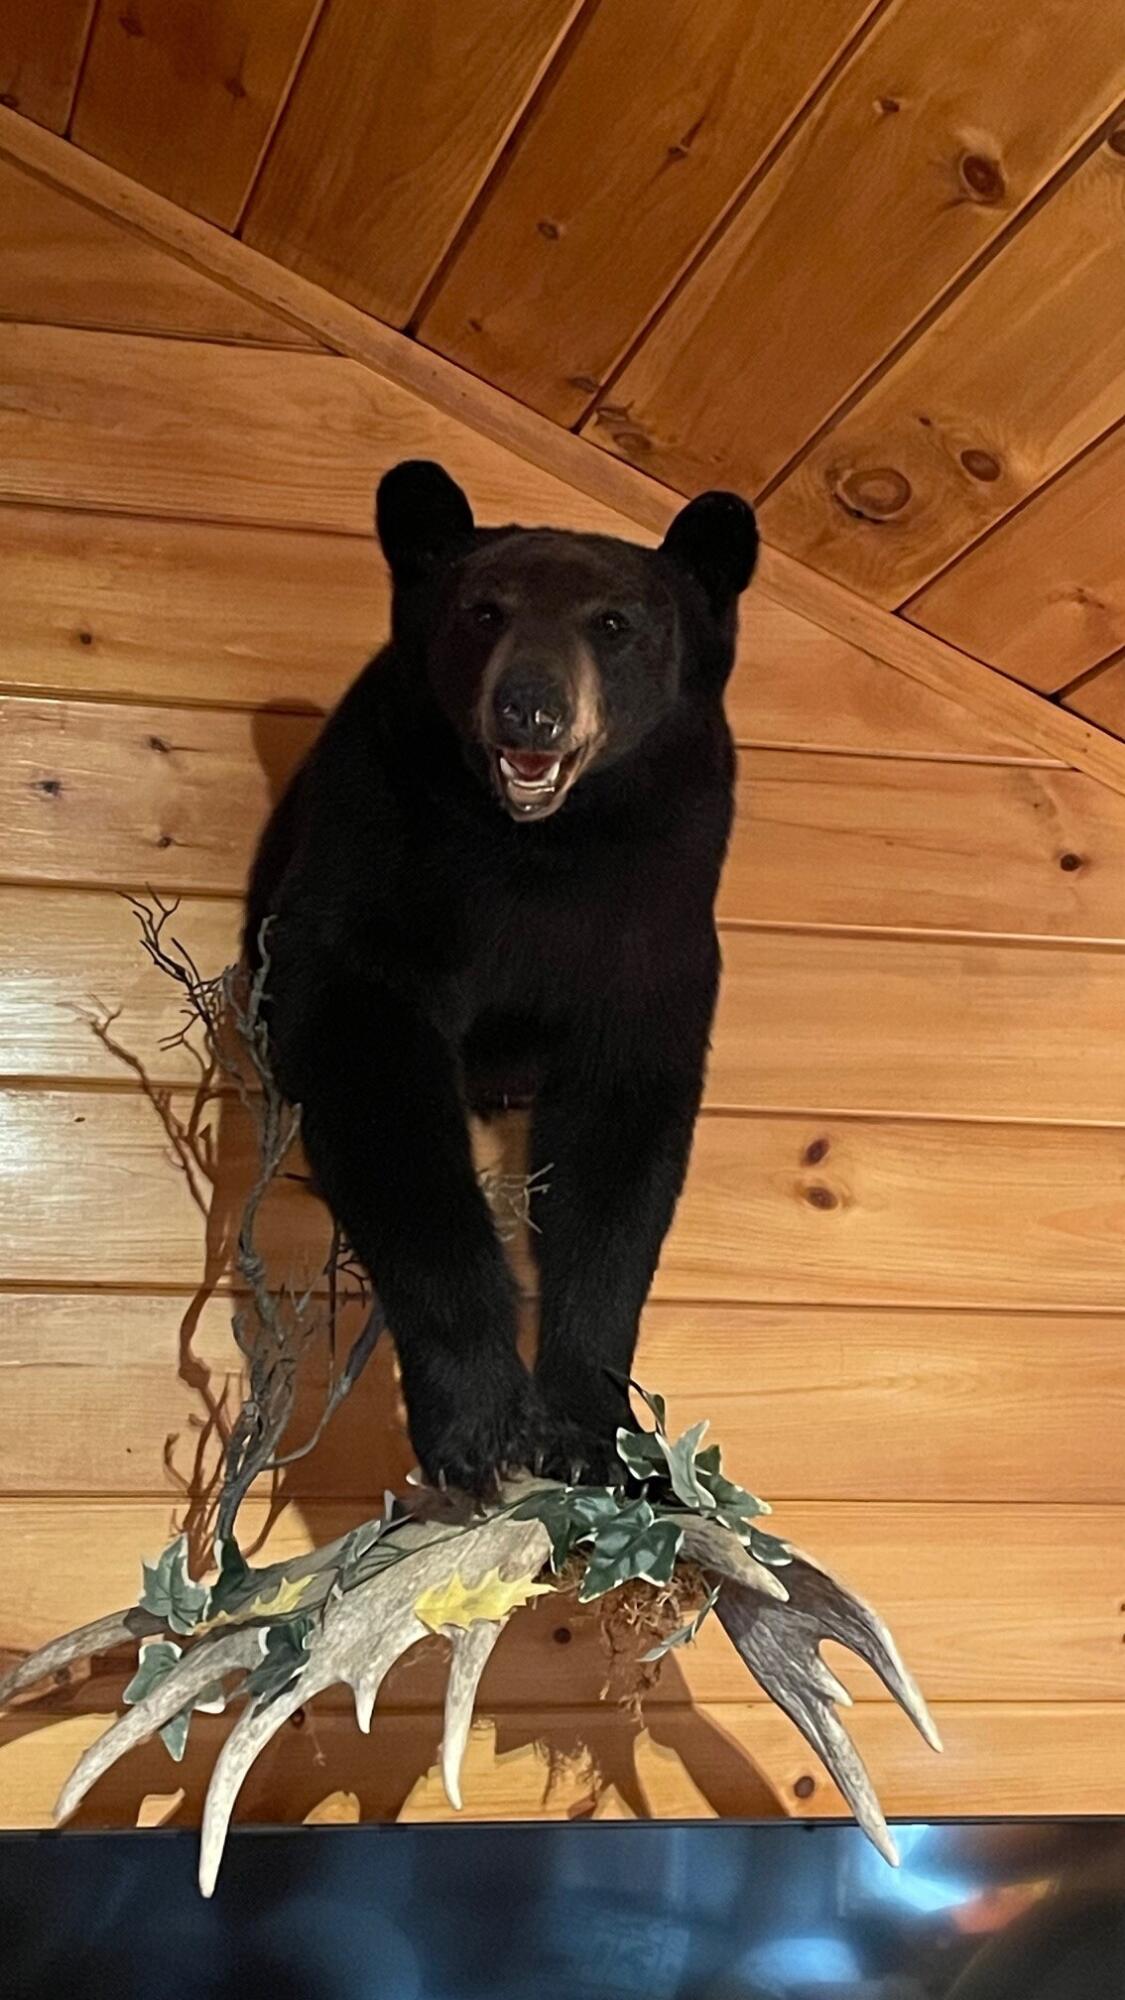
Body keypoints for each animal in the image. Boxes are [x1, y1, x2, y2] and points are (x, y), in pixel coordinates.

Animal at [244, 459, 758, 1492]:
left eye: (614, 622)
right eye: (483, 610)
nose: (530, 705)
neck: (537, 851)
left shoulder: (653, 919)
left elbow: (618, 1152)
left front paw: (589, 1427)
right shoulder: (377, 865)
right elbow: (377, 1087)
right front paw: (478, 1420)